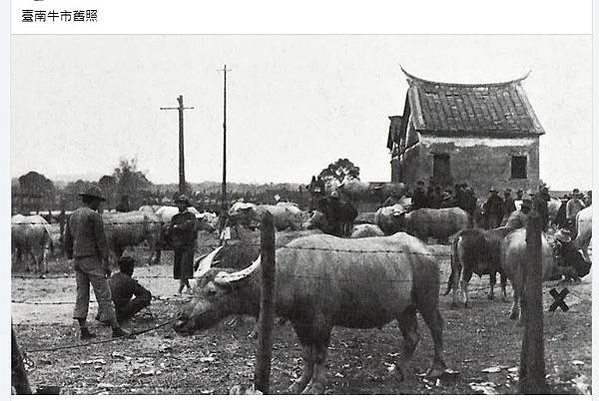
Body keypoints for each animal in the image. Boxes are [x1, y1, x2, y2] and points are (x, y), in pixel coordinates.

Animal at [173, 233, 446, 392]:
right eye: (194, 287)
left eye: (212, 292)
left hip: (426, 299)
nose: (180, 322)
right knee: (411, 337)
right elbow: (306, 354)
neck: (292, 272)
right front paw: (299, 383)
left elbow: (320, 355)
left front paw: (316, 386)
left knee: (436, 328)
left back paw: (436, 369)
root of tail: (426, 250)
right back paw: (397, 371)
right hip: (405, 308)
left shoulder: (322, 323)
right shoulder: (299, 323)